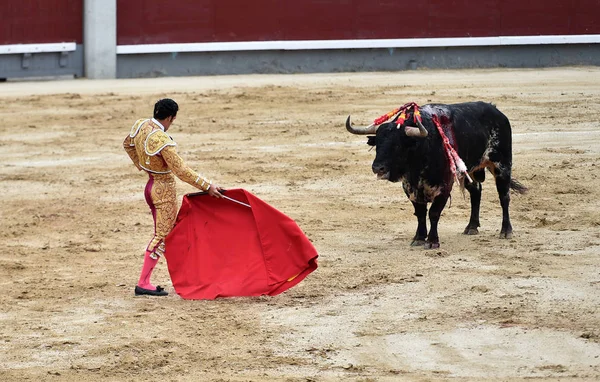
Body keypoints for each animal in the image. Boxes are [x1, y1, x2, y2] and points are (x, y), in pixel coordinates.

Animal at [346, 100, 524, 248]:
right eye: (377, 143)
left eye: (397, 145)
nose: (377, 168)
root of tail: (497, 111)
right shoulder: (410, 187)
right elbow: (420, 213)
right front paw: (419, 238)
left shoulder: (444, 187)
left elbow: (433, 213)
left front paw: (432, 241)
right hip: (469, 170)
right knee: (476, 192)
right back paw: (471, 227)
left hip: (502, 165)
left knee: (504, 197)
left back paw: (506, 231)